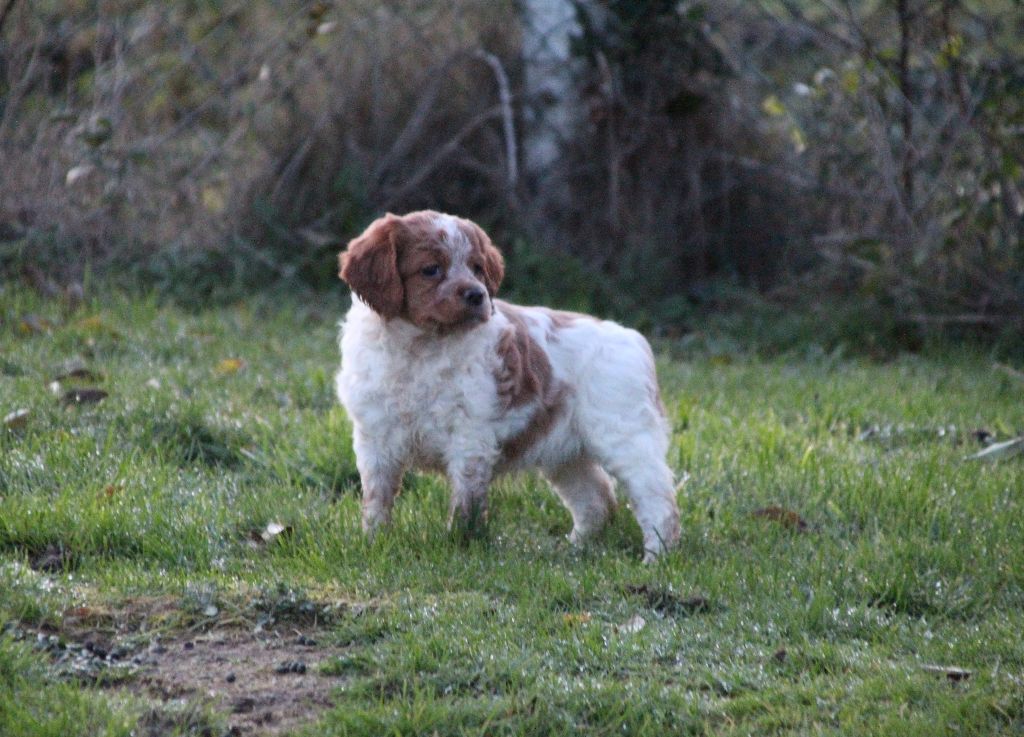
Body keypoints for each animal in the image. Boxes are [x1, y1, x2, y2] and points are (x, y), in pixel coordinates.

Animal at [331, 209, 675, 560]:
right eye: (430, 269)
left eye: (477, 268)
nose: (477, 295)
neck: (420, 347)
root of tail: (634, 339)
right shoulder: (376, 437)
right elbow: (378, 495)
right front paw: (374, 542)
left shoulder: (470, 437)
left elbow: (466, 503)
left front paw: (459, 547)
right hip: (566, 453)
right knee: (596, 498)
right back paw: (574, 550)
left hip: (625, 437)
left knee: (657, 499)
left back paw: (656, 557)